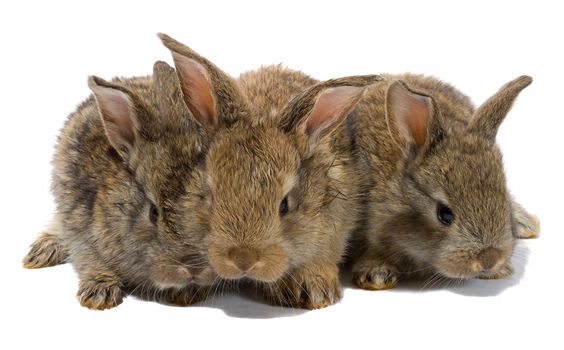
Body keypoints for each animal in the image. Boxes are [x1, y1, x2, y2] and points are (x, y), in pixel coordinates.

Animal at [23, 59, 219, 308]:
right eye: (153, 213)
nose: (193, 269)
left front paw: (188, 293)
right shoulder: (79, 227)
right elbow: (88, 258)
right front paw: (99, 294)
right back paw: (43, 250)